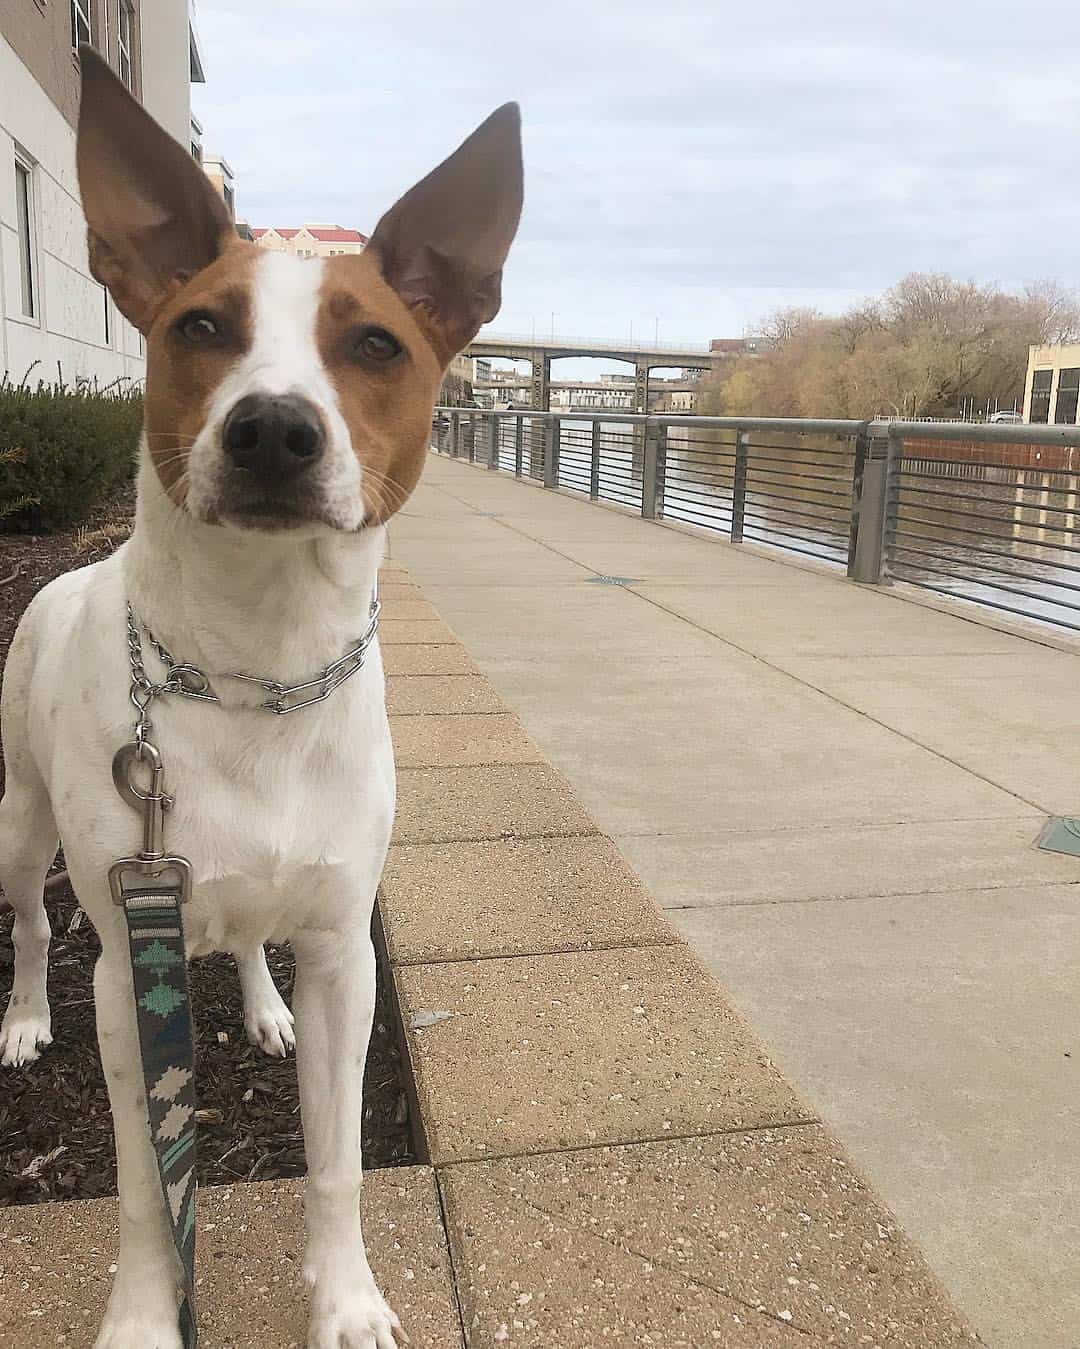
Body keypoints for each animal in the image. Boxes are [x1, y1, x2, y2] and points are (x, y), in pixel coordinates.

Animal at [0, 47, 523, 1343]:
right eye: (202, 325)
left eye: (376, 345)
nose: (275, 428)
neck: (255, 669)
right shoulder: (122, 979)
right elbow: (147, 1180)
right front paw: (146, 1313)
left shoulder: (344, 950)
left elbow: (335, 1155)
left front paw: (345, 1296)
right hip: (21, 822)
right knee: (30, 921)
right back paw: (22, 1017)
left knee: (241, 938)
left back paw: (258, 1000)